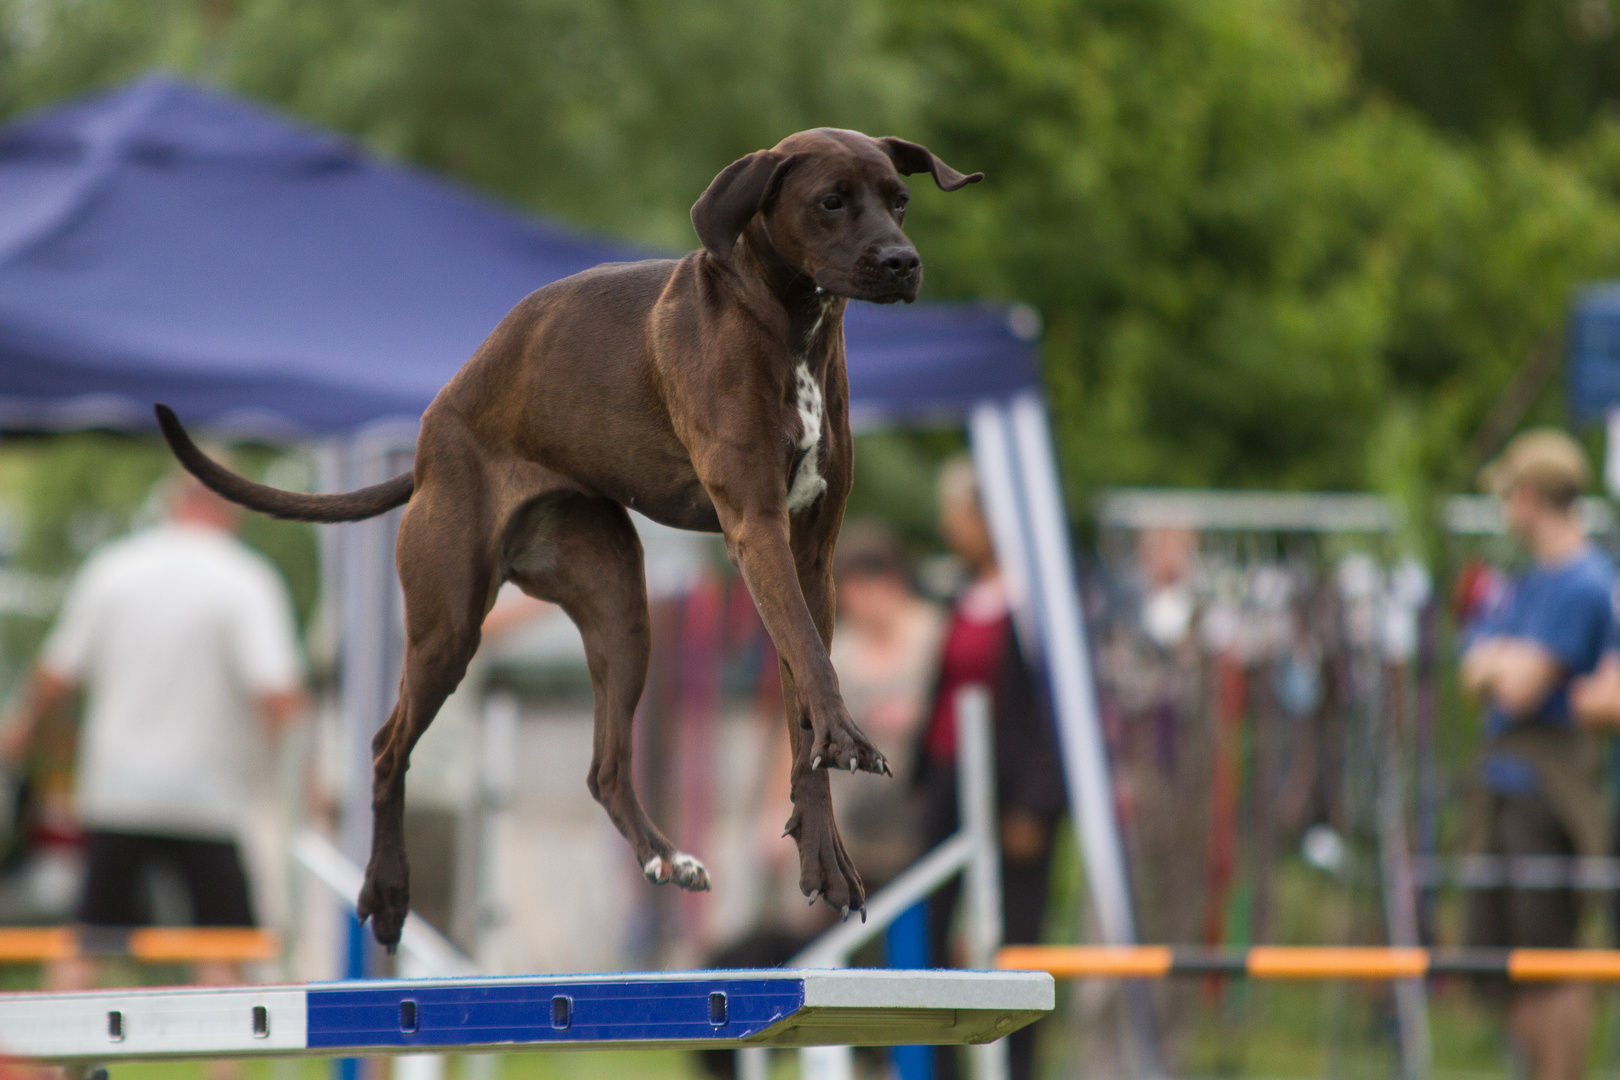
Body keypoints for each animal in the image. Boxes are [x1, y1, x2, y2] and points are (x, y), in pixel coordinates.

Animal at [157, 128, 978, 945]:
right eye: (831, 201)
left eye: (899, 200)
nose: (903, 262)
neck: (786, 320)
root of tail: (427, 437)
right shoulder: (757, 531)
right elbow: (815, 664)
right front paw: (846, 739)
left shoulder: (809, 560)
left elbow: (802, 708)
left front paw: (823, 858)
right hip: (448, 626)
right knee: (387, 748)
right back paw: (387, 891)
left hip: (622, 611)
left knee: (603, 768)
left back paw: (663, 855)